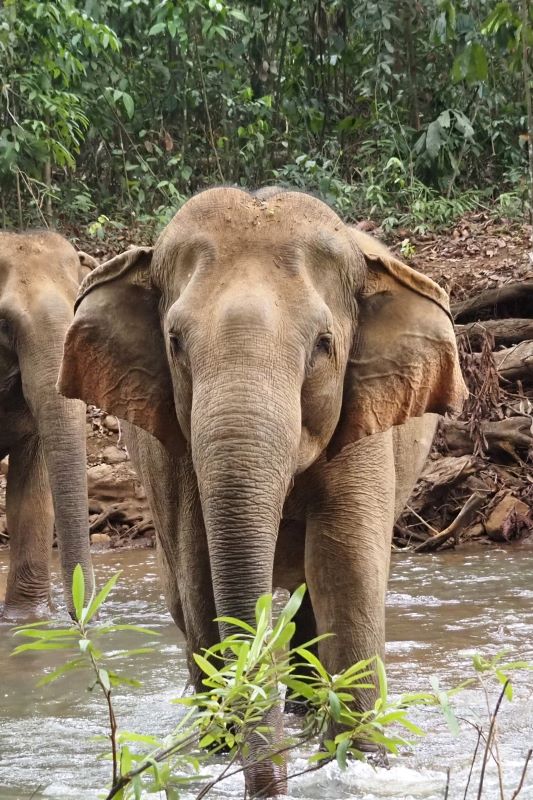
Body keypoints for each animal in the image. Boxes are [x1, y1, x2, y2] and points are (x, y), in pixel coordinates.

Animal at [58, 188, 466, 792]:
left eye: (323, 343)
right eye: (175, 342)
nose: (271, 788)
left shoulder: (363, 423)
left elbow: (345, 566)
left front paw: (363, 763)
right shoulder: (171, 450)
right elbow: (202, 575)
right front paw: (219, 754)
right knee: (184, 600)